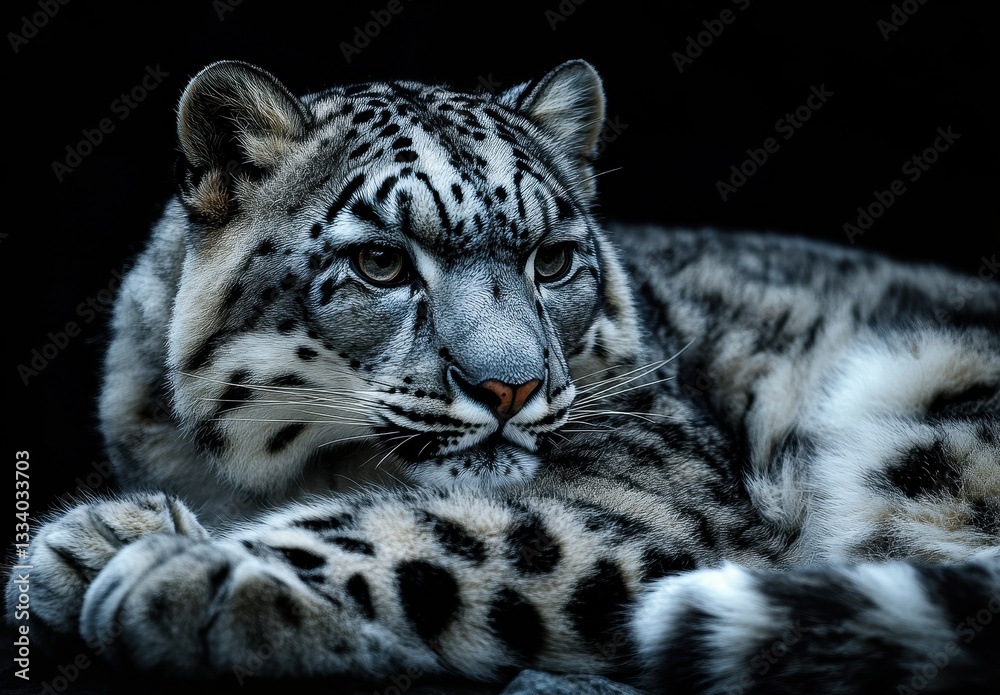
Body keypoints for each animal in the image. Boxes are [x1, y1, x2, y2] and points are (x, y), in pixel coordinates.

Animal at [7, 59, 1000, 694]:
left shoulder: (661, 508)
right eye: (380, 262)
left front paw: (180, 569)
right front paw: (101, 533)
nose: (509, 387)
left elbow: (433, 532)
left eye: (553, 259)